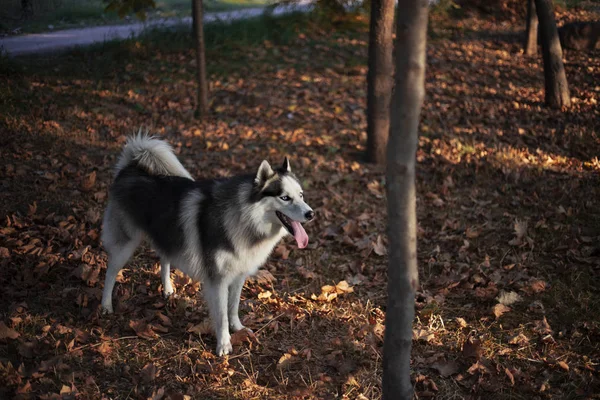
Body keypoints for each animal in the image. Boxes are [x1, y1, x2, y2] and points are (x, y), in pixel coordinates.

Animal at [99, 135, 314, 356]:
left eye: (301, 195)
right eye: (285, 197)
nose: (311, 214)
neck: (245, 218)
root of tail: (130, 167)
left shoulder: (239, 275)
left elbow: (233, 307)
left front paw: (238, 328)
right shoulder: (217, 280)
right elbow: (222, 315)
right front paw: (224, 343)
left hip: (168, 235)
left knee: (164, 257)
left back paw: (167, 289)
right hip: (125, 245)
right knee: (110, 272)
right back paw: (106, 305)